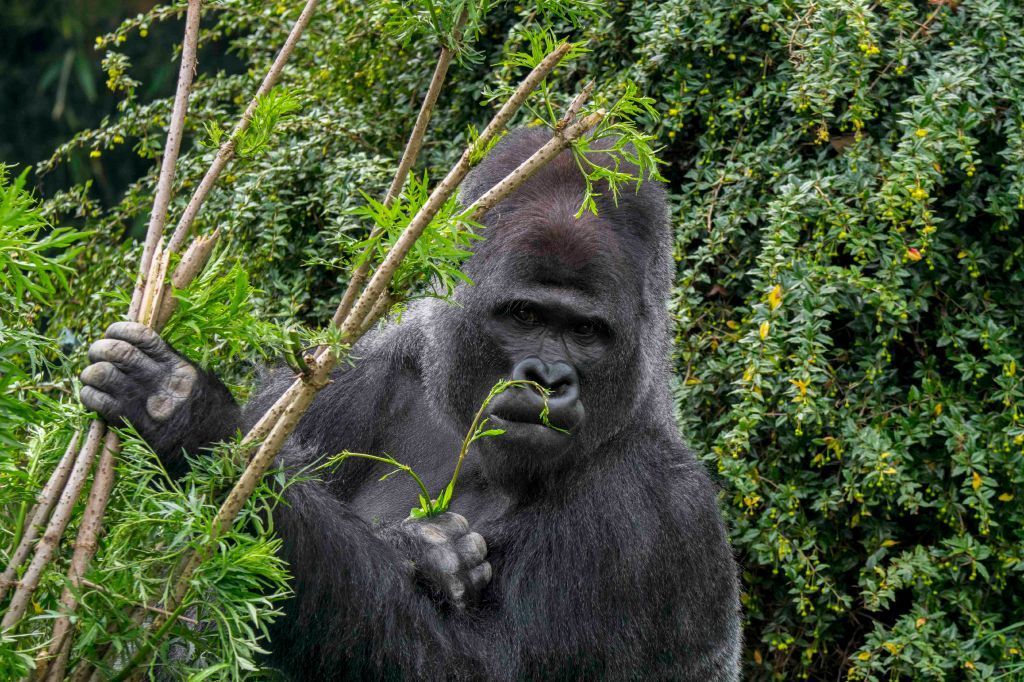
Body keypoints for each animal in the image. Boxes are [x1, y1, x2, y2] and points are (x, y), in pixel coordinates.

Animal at [79, 129, 737, 679]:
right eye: (525, 316)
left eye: (586, 332)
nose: (549, 378)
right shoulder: (346, 373)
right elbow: (179, 606)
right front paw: (426, 552)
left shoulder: (655, 510)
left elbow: (470, 666)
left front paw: (193, 423)